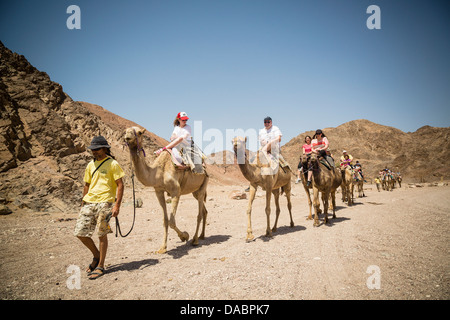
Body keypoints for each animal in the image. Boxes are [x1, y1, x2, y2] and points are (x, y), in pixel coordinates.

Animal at [123, 126, 207, 254]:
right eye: (125, 131)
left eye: (140, 132)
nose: (127, 137)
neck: (158, 172)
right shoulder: (158, 191)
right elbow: (165, 220)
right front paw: (162, 248)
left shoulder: (176, 191)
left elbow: (172, 221)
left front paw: (184, 236)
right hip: (195, 191)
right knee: (204, 211)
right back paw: (202, 236)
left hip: (204, 184)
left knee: (199, 214)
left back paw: (195, 240)